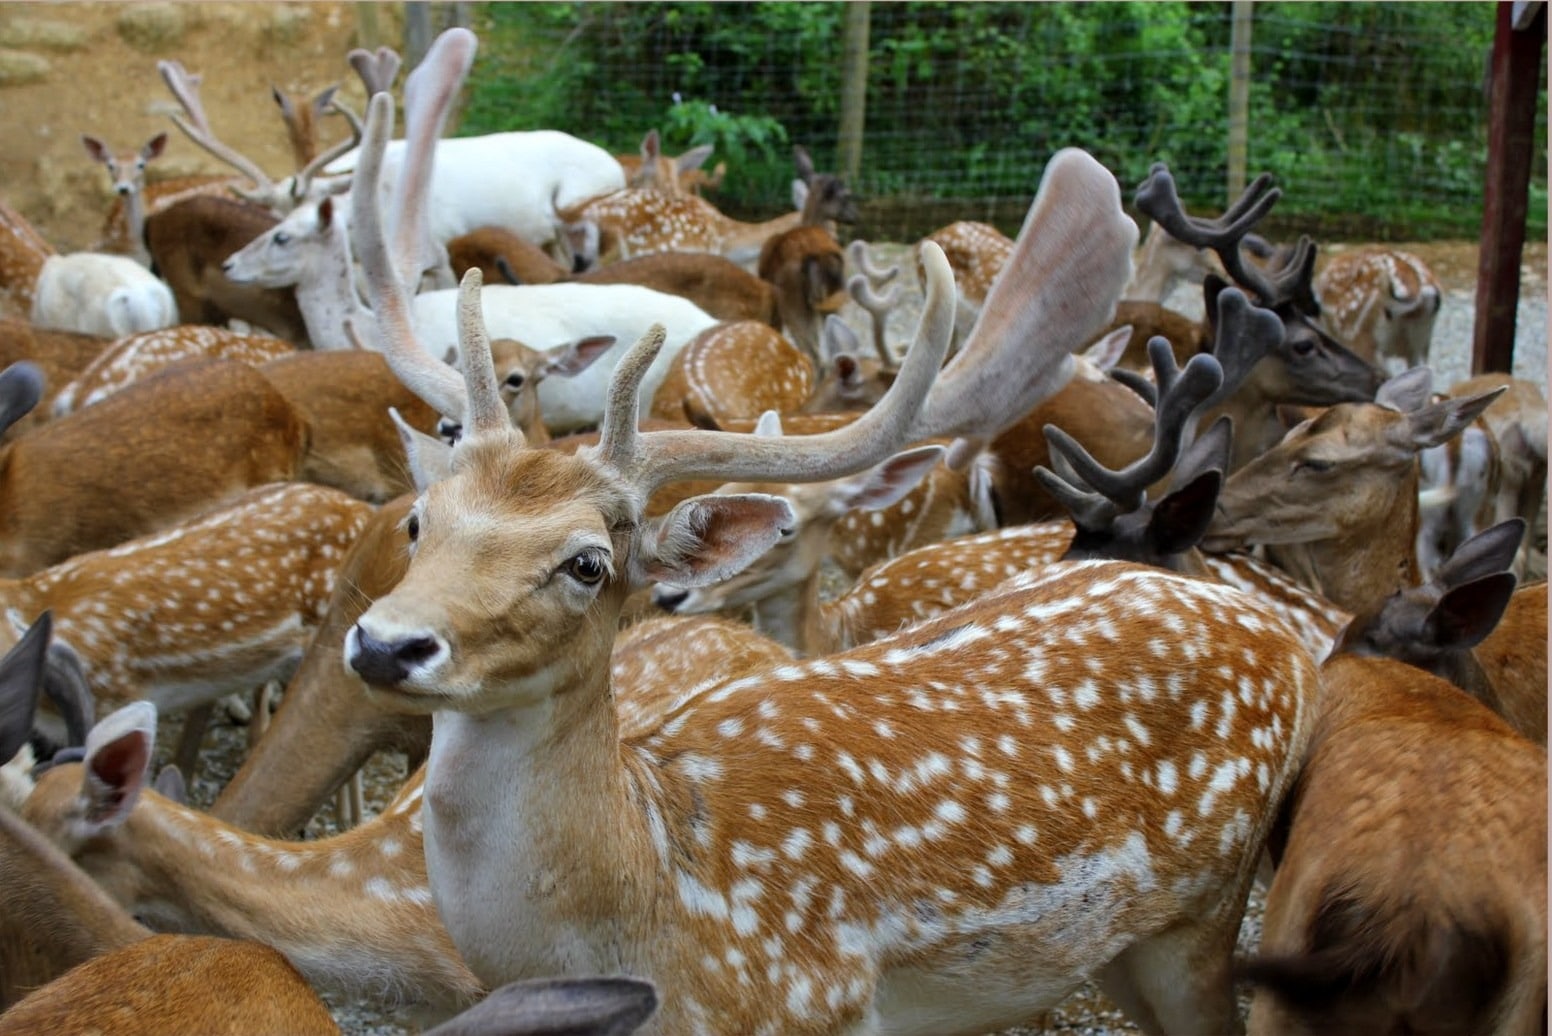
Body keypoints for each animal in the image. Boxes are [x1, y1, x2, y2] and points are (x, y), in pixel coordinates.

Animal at [345, 82, 1321, 1031]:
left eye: (588, 563)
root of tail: (1291, 645)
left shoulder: (811, 1006)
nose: (388, 643)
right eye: (420, 522)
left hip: (1202, 918)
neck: (658, 914)